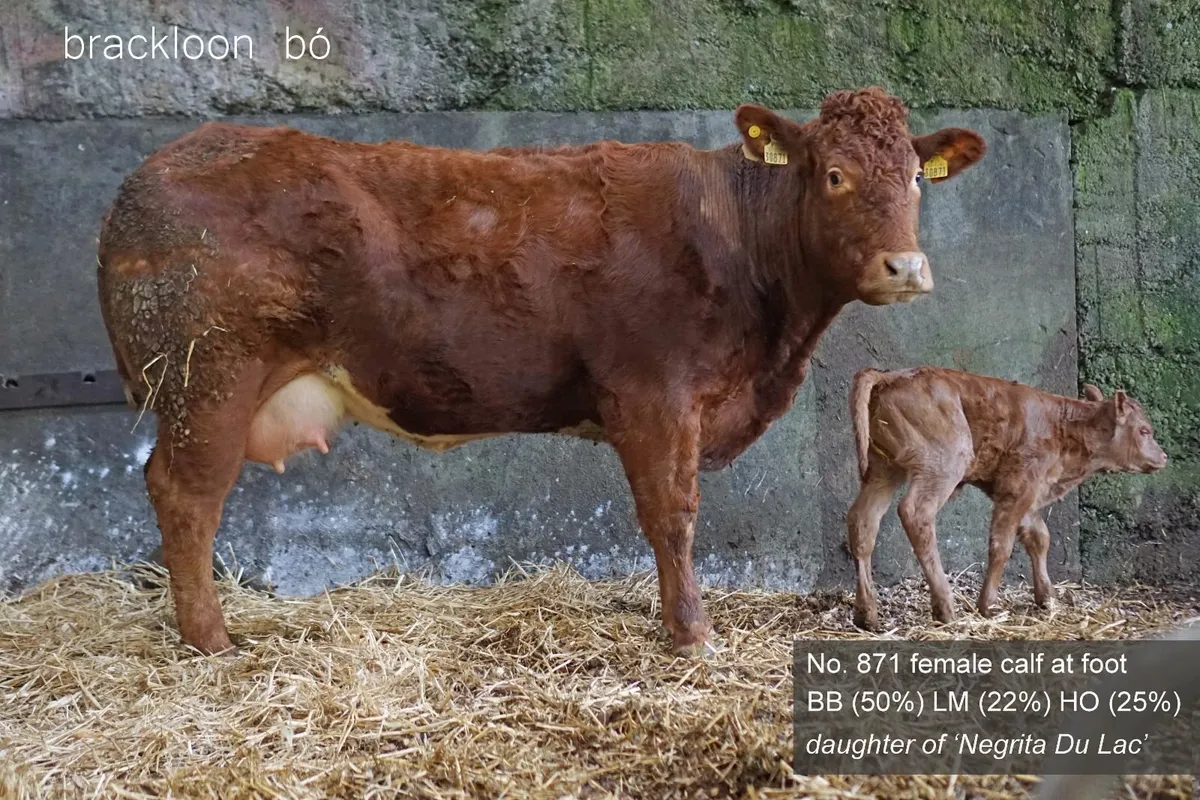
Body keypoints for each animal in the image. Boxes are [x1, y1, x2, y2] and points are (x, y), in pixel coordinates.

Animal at [96, 87, 985, 657]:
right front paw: (691, 632)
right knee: (185, 497)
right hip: (209, 379)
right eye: (834, 175)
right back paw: (212, 640)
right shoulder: (654, 394)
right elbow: (673, 515)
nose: (906, 268)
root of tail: (163, 164)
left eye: (915, 176)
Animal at [846, 367, 1168, 631]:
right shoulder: (1017, 490)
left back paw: (867, 615)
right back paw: (945, 608)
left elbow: (1039, 537)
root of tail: (889, 375)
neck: (1067, 426)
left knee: (863, 521)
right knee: (915, 514)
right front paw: (987, 604)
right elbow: (1002, 545)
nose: (1163, 456)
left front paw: (1046, 597)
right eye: (1144, 430)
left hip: (883, 471)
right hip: (941, 467)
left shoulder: (1027, 495)